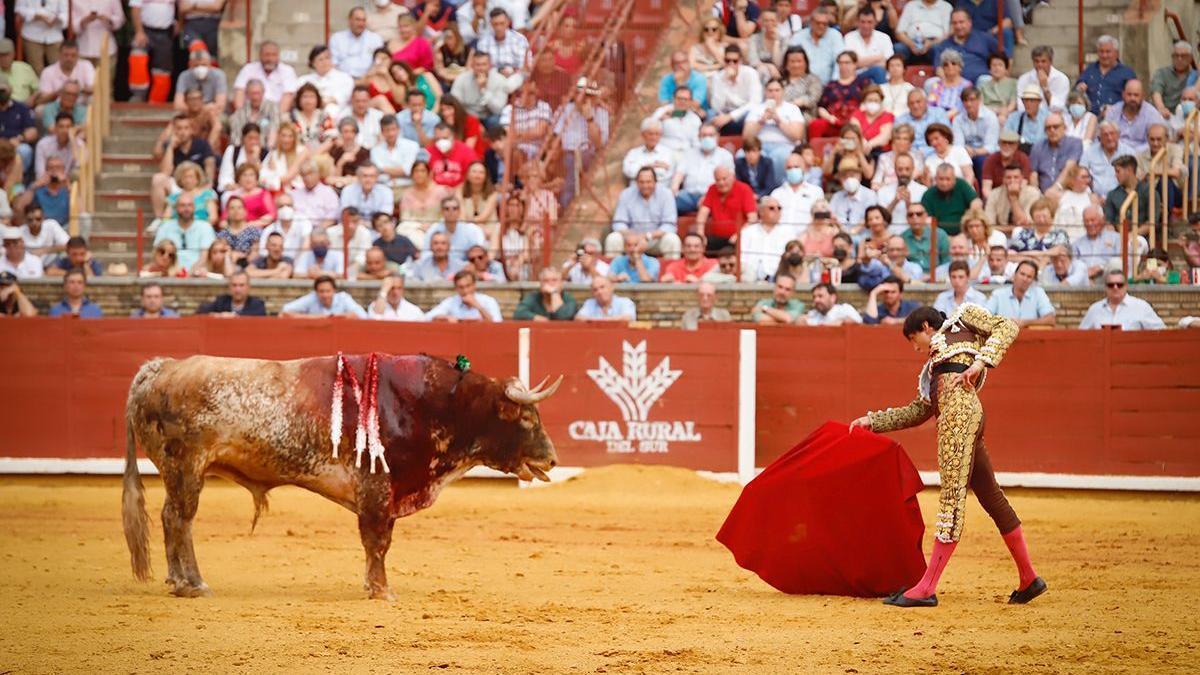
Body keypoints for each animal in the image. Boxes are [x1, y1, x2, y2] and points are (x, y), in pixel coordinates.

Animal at [119, 348, 559, 595]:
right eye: (525, 418)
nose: (552, 459)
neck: (432, 403)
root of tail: (159, 368)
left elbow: (377, 542)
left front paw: (374, 585)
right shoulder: (378, 489)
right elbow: (377, 541)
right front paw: (380, 590)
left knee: (171, 518)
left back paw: (178, 580)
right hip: (185, 468)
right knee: (179, 520)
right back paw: (191, 584)